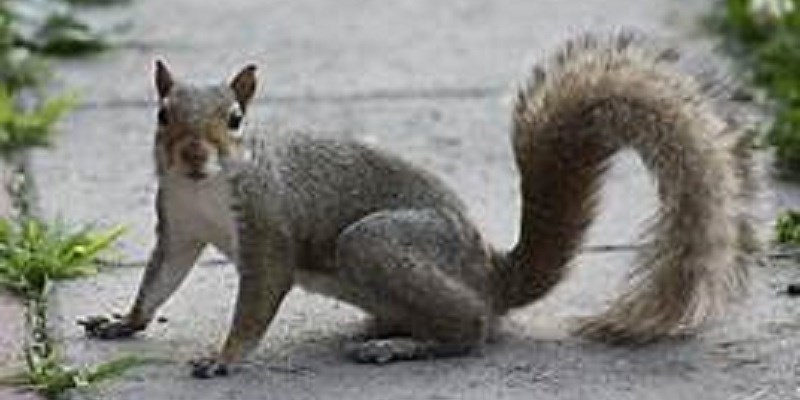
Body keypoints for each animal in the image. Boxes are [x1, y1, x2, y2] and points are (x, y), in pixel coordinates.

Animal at [79, 32, 757, 378]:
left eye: (235, 119)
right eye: (162, 115)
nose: (193, 155)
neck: (204, 189)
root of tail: (491, 275)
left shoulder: (268, 226)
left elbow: (256, 299)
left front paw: (223, 357)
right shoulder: (178, 227)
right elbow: (159, 281)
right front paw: (124, 322)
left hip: (376, 243)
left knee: (472, 329)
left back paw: (401, 346)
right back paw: (384, 328)